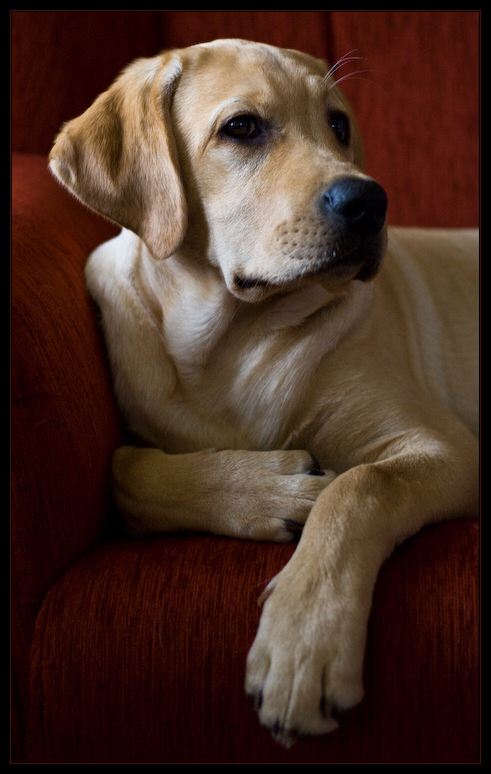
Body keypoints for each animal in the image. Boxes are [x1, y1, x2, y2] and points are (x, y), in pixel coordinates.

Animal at [49, 39, 476, 748]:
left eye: (338, 125)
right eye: (242, 127)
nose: (371, 202)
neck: (227, 342)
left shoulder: (448, 448)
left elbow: (358, 487)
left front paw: (305, 643)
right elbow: (124, 470)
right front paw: (272, 491)